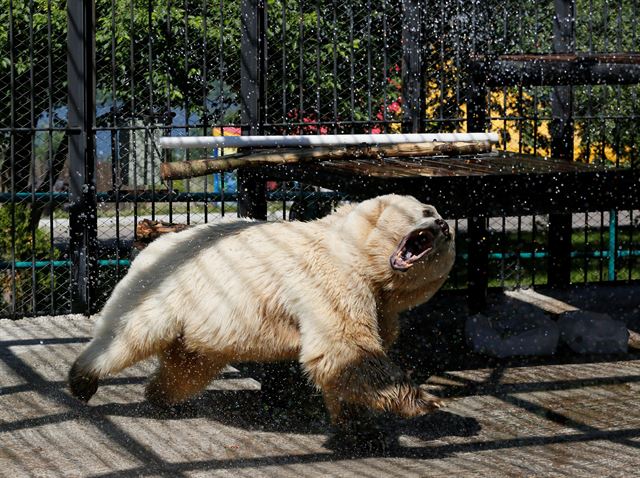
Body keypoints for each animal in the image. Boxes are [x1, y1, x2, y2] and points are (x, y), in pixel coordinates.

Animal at [69, 194, 456, 426]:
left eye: (445, 226)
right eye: (426, 211)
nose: (443, 226)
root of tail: (155, 244)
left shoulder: (383, 308)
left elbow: (344, 364)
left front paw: (355, 423)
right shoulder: (330, 278)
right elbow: (344, 347)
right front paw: (426, 402)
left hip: (202, 322)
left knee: (188, 366)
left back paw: (162, 397)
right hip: (168, 291)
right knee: (128, 336)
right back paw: (82, 380)